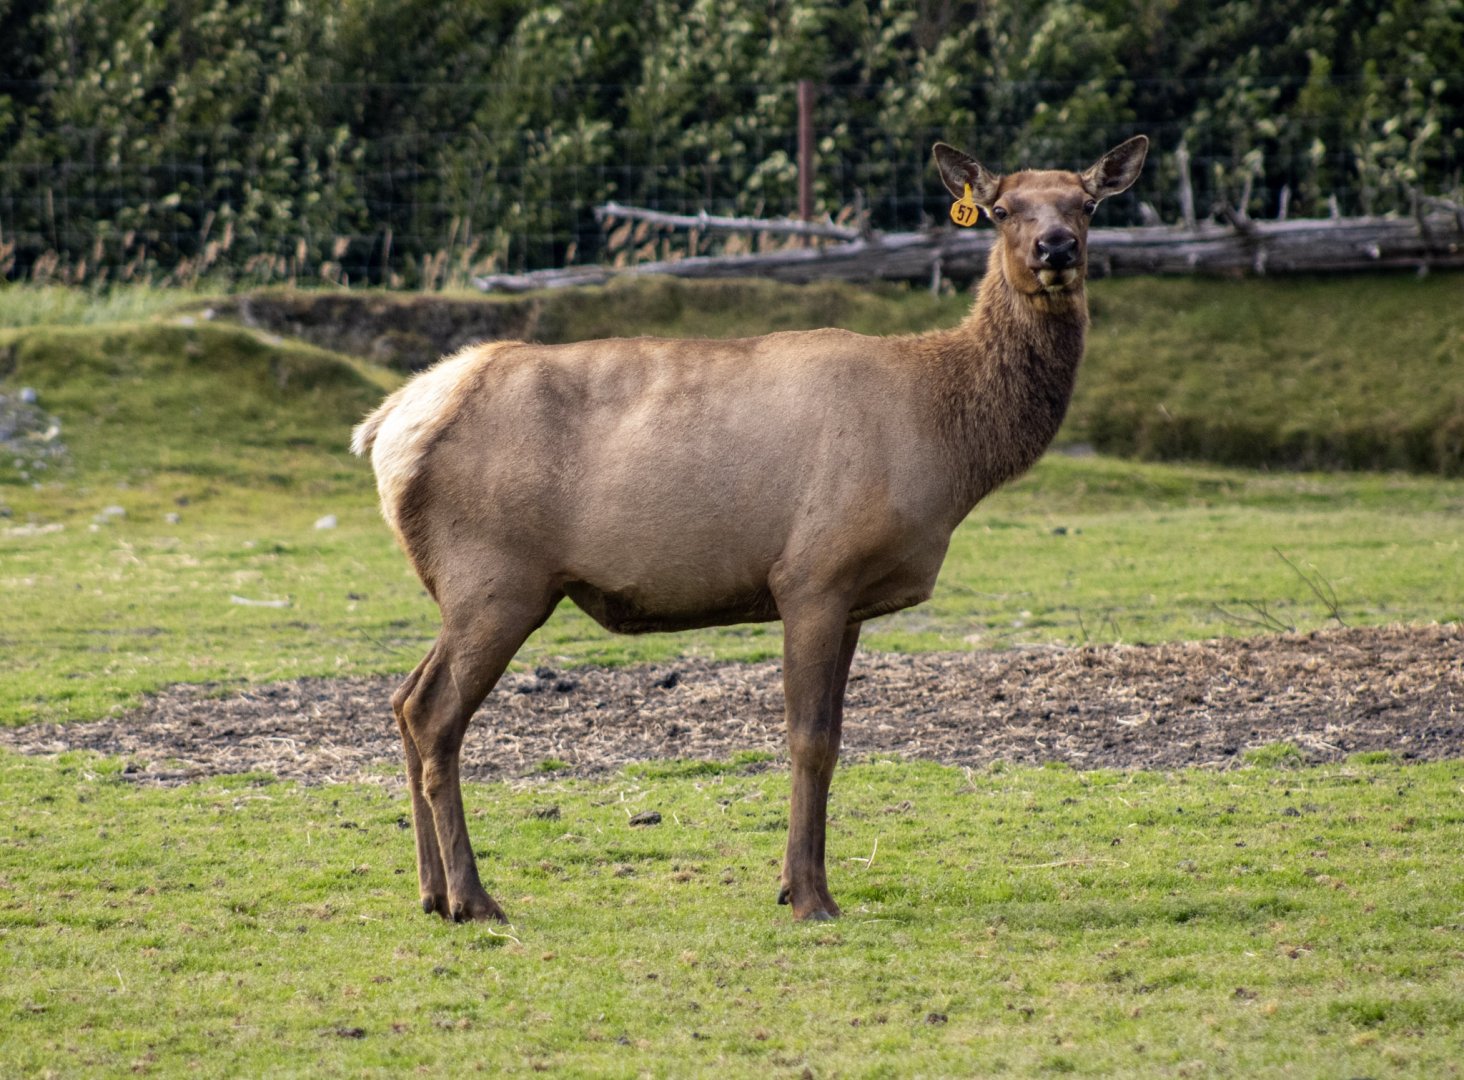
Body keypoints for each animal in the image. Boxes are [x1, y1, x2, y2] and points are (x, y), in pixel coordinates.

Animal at [351, 135, 1148, 924]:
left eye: (1088, 204)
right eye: (1002, 208)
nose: (1055, 247)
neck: (947, 448)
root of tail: (387, 428)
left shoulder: (852, 600)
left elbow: (835, 737)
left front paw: (805, 884)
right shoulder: (813, 574)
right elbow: (809, 740)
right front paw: (808, 897)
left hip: (468, 589)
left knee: (402, 701)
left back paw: (430, 892)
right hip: (497, 577)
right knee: (433, 714)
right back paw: (473, 897)